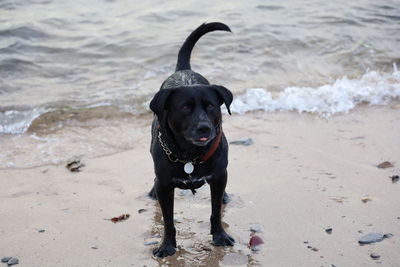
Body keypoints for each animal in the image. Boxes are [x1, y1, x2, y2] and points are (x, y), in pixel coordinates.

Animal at [148, 22, 233, 258]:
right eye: (184, 107)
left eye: (211, 106)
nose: (204, 127)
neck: (190, 156)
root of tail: (183, 71)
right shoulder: (165, 186)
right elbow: (168, 221)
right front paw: (167, 246)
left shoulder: (219, 176)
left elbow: (216, 212)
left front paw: (220, 236)